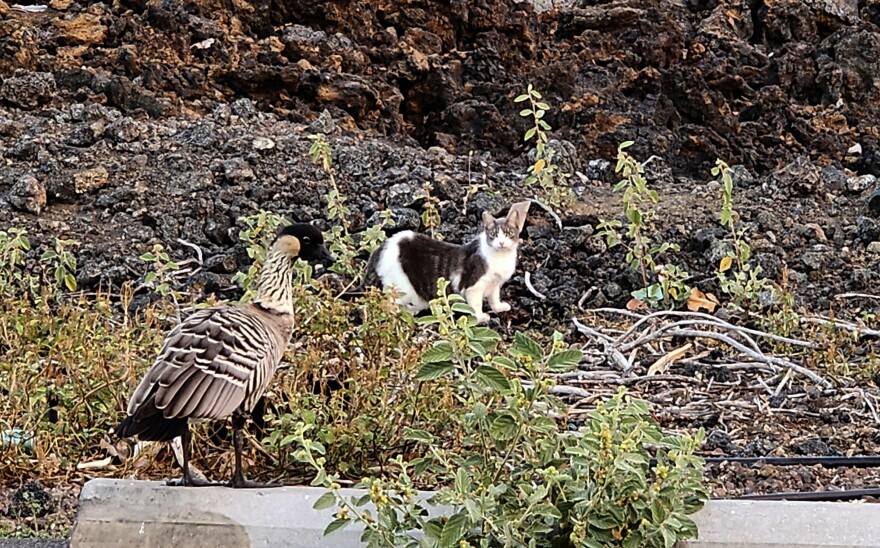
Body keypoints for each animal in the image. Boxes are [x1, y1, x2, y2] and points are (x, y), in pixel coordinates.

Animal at [364, 200, 528, 322]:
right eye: (493, 235)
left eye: (509, 233)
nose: (501, 242)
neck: (501, 257)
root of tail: (385, 245)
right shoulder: (473, 286)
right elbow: (476, 304)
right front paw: (481, 317)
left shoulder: (494, 284)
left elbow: (494, 298)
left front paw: (499, 307)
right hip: (402, 288)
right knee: (390, 305)